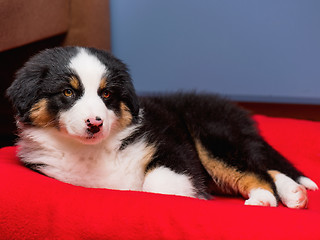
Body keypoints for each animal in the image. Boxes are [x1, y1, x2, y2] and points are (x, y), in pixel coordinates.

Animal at [6, 47, 316, 208]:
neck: (91, 151)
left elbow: (156, 185)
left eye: (106, 94)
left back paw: (265, 199)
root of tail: (239, 113)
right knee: (262, 167)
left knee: (257, 170)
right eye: (68, 93)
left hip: (211, 137)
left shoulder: (170, 147)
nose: (95, 123)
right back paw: (293, 194)